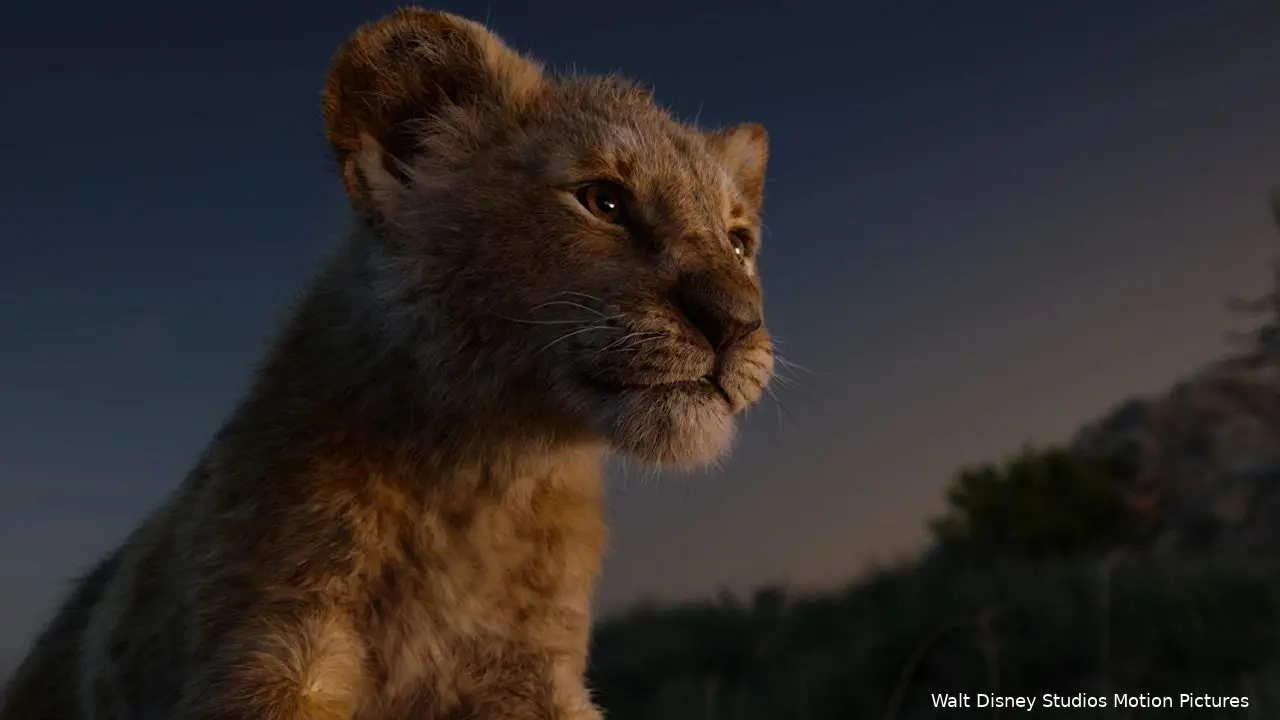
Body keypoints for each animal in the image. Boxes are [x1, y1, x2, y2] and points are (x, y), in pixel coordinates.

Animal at [0, 7, 773, 719]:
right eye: (604, 201)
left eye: (739, 242)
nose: (737, 320)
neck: (483, 479)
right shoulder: (273, 643)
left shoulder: (529, 672)